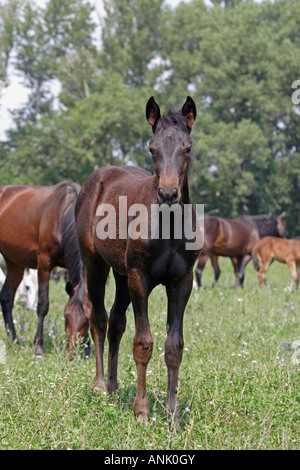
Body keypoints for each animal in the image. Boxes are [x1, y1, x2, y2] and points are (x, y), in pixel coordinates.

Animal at [0, 182, 91, 354]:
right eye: (66, 317)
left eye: (86, 320)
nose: (72, 353)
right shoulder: (44, 264)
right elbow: (43, 305)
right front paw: (39, 347)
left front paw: (88, 349)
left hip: (15, 263)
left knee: (7, 297)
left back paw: (14, 339)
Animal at [75, 95, 202, 422]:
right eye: (152, 147)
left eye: (188, 147)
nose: (168, 193)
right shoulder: (139, 278)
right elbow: (143, 342)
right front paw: (142, 411)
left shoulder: (182, 282)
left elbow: (174, 346)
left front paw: (172, 414)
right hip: (96, 265)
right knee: (99, 319)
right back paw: (100, 386)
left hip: (121, 274)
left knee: (116, 321)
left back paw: (113, 383)